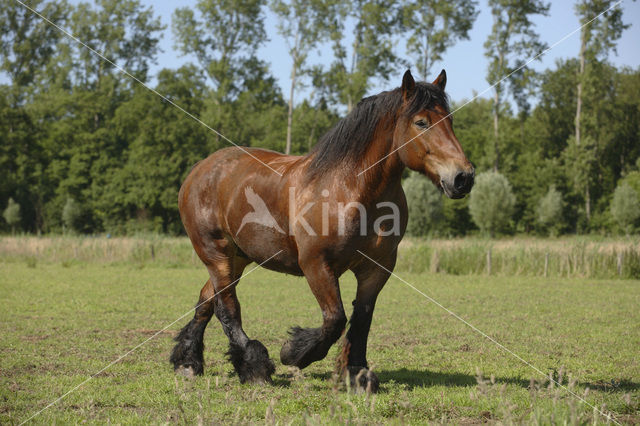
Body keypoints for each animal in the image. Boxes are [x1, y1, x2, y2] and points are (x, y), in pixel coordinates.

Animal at [170, 68, 476, 392]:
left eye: (450, 120)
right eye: (421, 122)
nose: (463, 177)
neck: (351, 189)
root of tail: (200, 170)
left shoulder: (377, 268)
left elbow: (361, 320)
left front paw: (357, 374)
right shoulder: (316, 264)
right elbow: (335, 319)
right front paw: (294, 352)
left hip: (237, 258)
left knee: (207, 301)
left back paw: (187, 362)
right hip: (216, 254)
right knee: (227, 307)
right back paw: (254, 368)